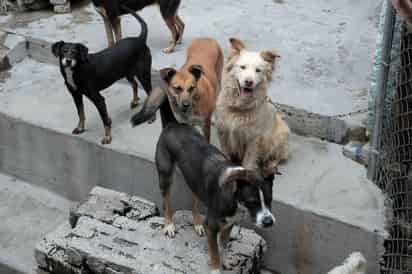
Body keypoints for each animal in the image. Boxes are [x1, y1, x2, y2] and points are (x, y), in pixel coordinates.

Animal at [51, 7, 153, 144]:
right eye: (64, 51)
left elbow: (105, 120)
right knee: (135, 84)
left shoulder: (98, 99)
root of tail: (140, 39)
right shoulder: (76, 95)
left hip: (143, 74)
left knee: (150, 91)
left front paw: (107, 137)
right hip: (127, 73)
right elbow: (81, 113)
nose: (68, 61)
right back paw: (135, 101)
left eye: (75, 52)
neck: (76, 69)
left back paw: (151, 117)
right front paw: (80, 128)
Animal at [150, 122, 276, 274]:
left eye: (269, 199)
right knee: (166, 202)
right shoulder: (211, 227)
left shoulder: (229, 224)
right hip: (165, 175)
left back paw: (198, 224)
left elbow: (223, 246)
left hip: (195, 183)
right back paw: (169, 225)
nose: (268, 222)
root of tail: (173, 124)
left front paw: (225, 261)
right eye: (252, 202)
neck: (235, 200)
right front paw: (216, 268)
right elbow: (215, 250)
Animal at [214, 38, 288, 179]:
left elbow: (248, 161)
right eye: (242, 67)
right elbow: (224, 153)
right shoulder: (223, 131)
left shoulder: (253, 139)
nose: (249, 82)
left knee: (279, 156)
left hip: (281, 134)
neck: (238, 108)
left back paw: (270, 166)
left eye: (258, 70)